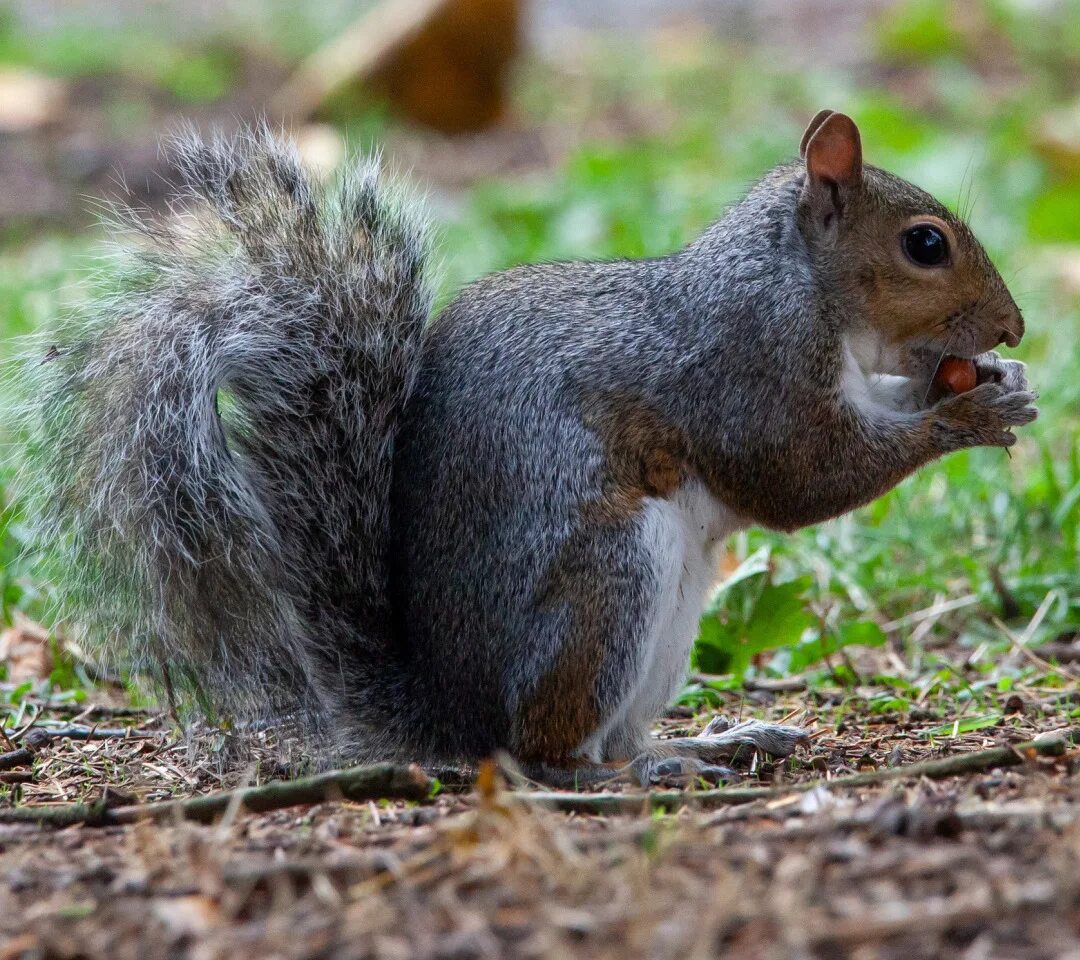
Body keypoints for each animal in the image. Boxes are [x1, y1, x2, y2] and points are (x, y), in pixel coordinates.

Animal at [21, 112, 1036, 786]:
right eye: (925, 244)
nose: (1016, 328)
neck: (801, 286)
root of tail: (454, 715)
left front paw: (996, 387)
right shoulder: (746, 367)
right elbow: (800, 475)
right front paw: (962, 420)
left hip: (667, 622)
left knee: (609, 734)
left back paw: (705, 743)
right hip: (605, 587)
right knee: (545, 755)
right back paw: (633, 772)